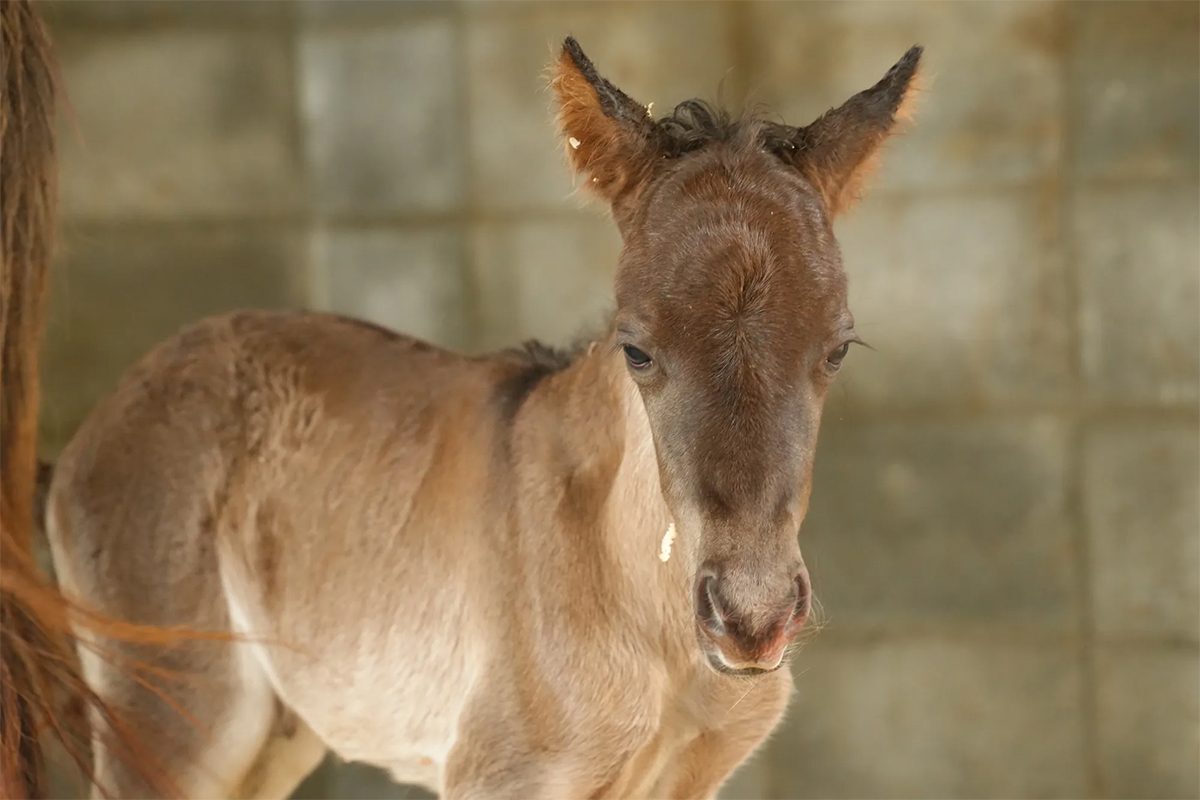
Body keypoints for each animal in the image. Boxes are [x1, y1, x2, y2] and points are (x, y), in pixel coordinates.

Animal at [45, 37, 921, 799]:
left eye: (838, 348)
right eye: (636, 348)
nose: (751, 617)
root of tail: (99, 424)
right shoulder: (502, 774)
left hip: (274, 735)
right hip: (171, 717)